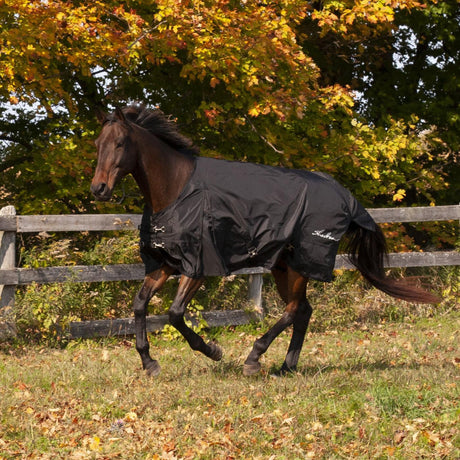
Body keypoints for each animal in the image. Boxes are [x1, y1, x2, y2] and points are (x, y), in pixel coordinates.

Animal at [90, 105, 438, 378]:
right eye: (97, 143)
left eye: (120, 143)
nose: (99, 188)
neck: (176, 191)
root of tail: (346, 197)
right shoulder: (163, 264)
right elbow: (139, 305)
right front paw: (149, 363)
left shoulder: (198, 266)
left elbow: (175, 313)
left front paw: (213, 351)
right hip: (283, 266)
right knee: (303, 310)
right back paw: (286, 367)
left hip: (300, 266)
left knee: (294, 309)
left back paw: (254, 359)